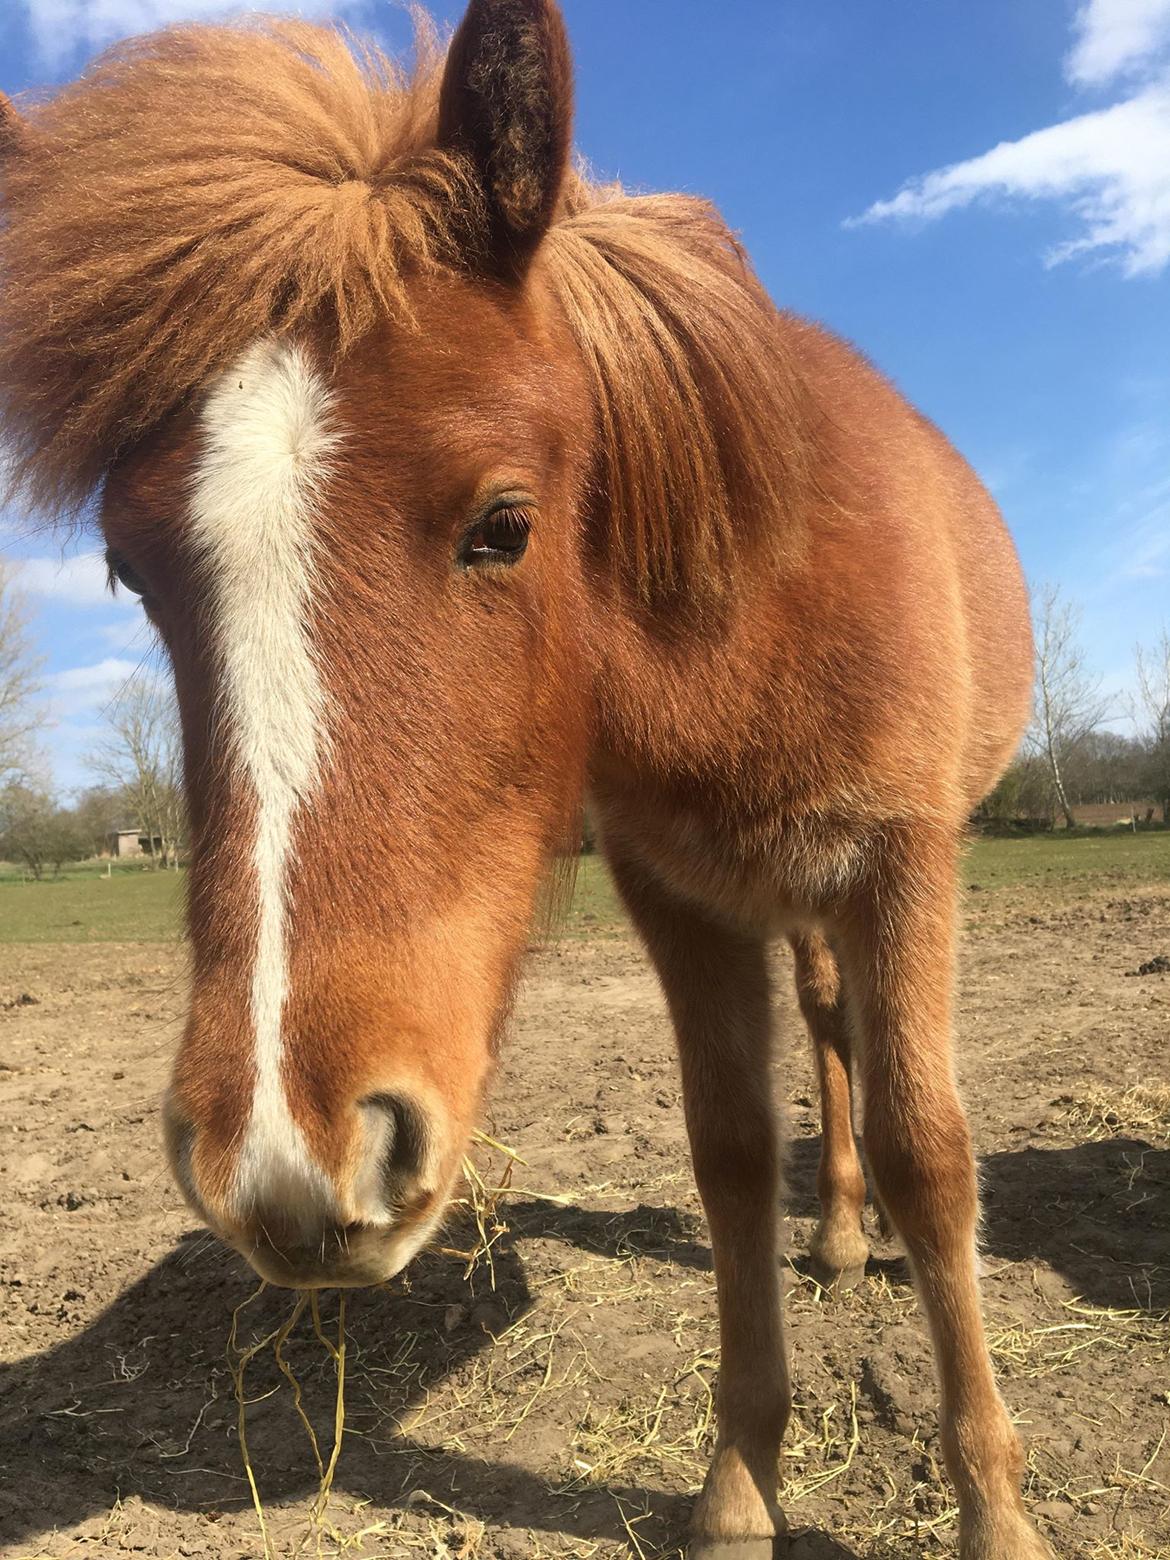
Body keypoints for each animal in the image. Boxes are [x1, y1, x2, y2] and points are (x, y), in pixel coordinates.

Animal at [0, 6, 1042, 1553]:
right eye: (132, 572)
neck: (756, 612)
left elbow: (933, 1154)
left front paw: (994, 1510)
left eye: (503, 524)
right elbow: (733, 1157)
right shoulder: (680, 898)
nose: (288, 1157)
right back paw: (836, 1234)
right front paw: (739, 1483)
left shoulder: (903, 862)